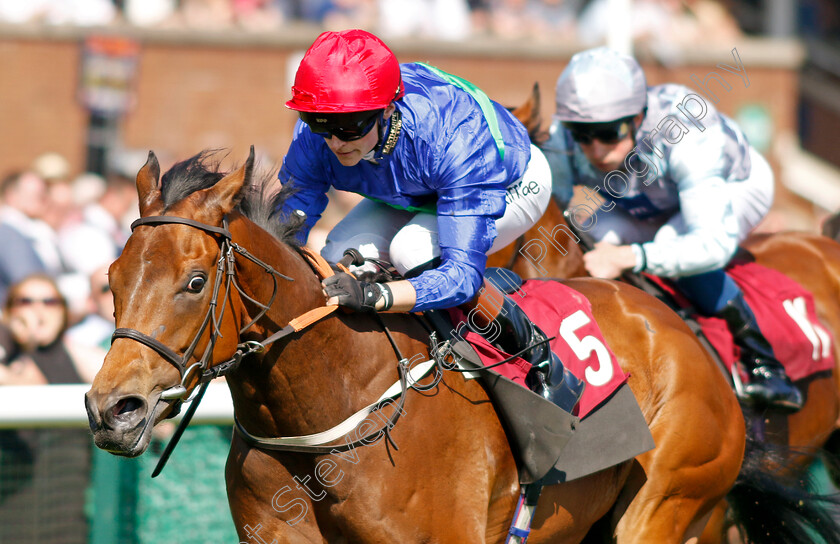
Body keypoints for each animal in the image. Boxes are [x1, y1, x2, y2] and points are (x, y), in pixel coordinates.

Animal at [82, 148, 836, 540]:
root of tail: (681, 333)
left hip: (665, 502)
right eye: (111, 279)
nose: (113, 409)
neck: (329, 413)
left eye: (194, 282)